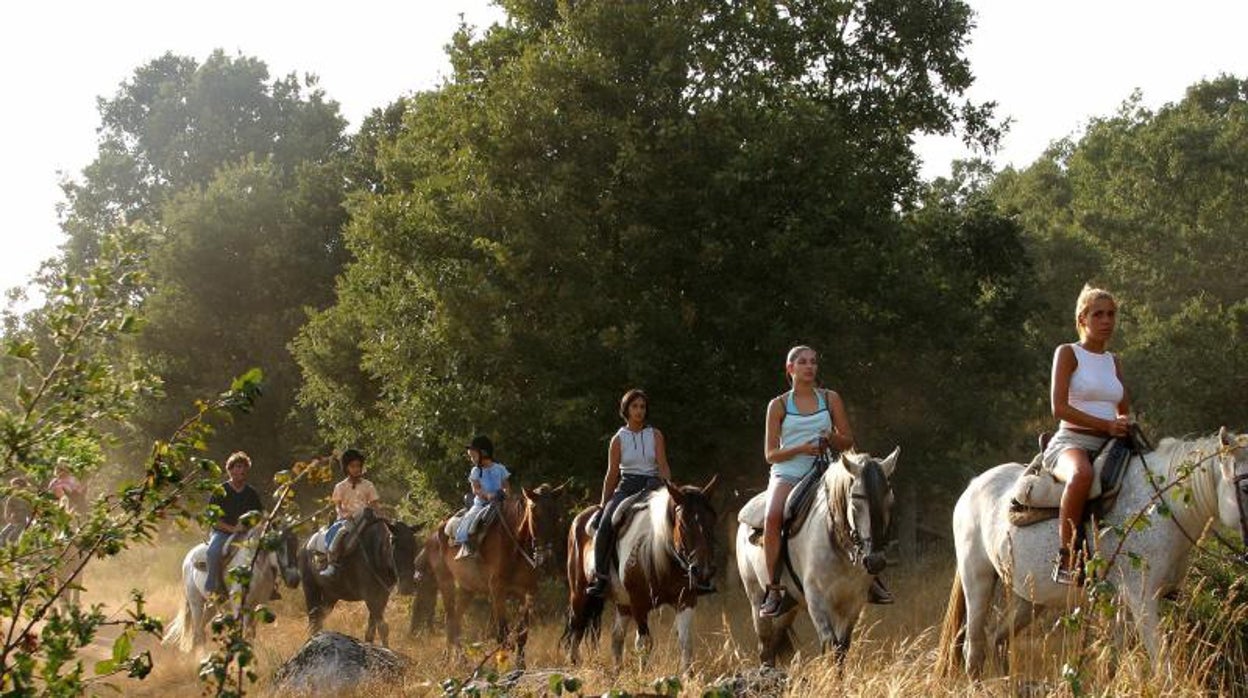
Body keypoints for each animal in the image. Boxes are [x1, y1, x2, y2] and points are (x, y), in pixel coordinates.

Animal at [163, 526, 299, 654]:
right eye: (279, 548)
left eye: (296, 544)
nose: (294, 580)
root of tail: (189, 556)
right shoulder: (240, 604)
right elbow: (242, 632)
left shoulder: (260, 602)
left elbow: (251, 634)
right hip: (196, 603)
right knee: (197, 632)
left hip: (212, 605)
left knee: (200, 631)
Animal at [424, 486, 551, 664]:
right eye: (534, 512)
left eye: (556, 514)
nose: (544, 555)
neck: (513, 546)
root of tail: (435, 533)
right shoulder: (497, 591)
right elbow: (502, 635)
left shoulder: (528, 592)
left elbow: (522, 634)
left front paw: (520, 666)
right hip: (445, 582)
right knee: (449, 619)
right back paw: (448, 659)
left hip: (467, 588)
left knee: (456, 620)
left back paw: (460, 660)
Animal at [561, 479, 718, 674]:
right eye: (682, 524)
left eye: (712, 520)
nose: (703, 570)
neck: (658, 552)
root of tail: (579, 519)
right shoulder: (639, 603)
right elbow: (644, 643)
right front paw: (643, 674)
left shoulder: (686, 600)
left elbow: (685, 641)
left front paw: (688, 676)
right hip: (580, 594)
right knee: (576, 628)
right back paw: (574, 665)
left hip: (623, 603)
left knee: (616, 636)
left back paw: (617, 672)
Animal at [728, 447, 898, 664]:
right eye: (855, 501)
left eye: (890, 502)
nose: (875, 561)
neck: (839, 547)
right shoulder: (817, 601)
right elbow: (830, 645)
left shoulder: (853, 603)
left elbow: (841, 649)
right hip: (756, 598)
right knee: (765, 646)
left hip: (789, 606)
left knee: (776, 639)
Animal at [938, 427, 1248, 679]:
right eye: (1244, 486)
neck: (1159, 508)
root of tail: (973, 486)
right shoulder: (1142, 598)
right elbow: (1162, 664)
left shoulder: (1129, 601)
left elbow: (1116, 661)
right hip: (977, 581)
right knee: (973, 649)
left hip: (1028, 598)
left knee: (999, 640)